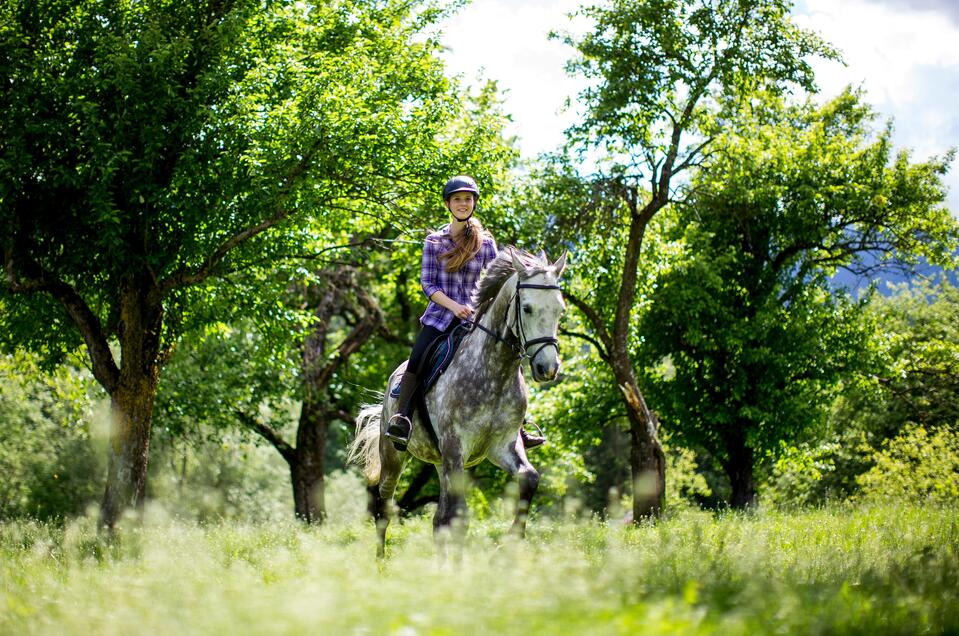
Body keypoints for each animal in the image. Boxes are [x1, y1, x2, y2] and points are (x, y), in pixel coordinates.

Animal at [348, 248, 568, 556]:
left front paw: (512, 540)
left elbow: (530, 479)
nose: (547, 368)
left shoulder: (503, 445)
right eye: (526, 308)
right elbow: (460, 519)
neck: (494, 373)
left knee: (438, 520)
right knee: (384, 509)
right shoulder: (456, 446)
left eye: (560, 310)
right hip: (394, 456)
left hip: (441, 463)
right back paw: (380, 561)